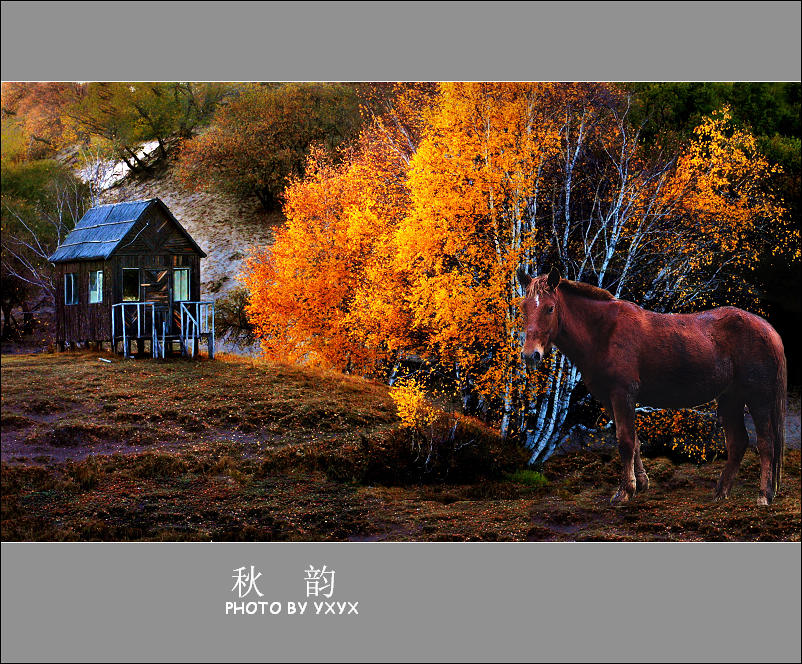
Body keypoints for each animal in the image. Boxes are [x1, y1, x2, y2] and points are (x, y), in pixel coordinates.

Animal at [516, 268, 784, 506]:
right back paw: (720, 493)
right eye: (524, 308)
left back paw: (763, 496)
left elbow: (625, 441)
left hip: (758, 398)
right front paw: (641, 484)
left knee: (765, 443)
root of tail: (767, 328)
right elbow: (633, 440)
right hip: (730, 398)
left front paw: (624, 492)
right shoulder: (609, 398)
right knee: (738, 442)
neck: (604, 332)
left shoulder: (622, 394)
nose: (530, 355)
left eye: (550, 308)